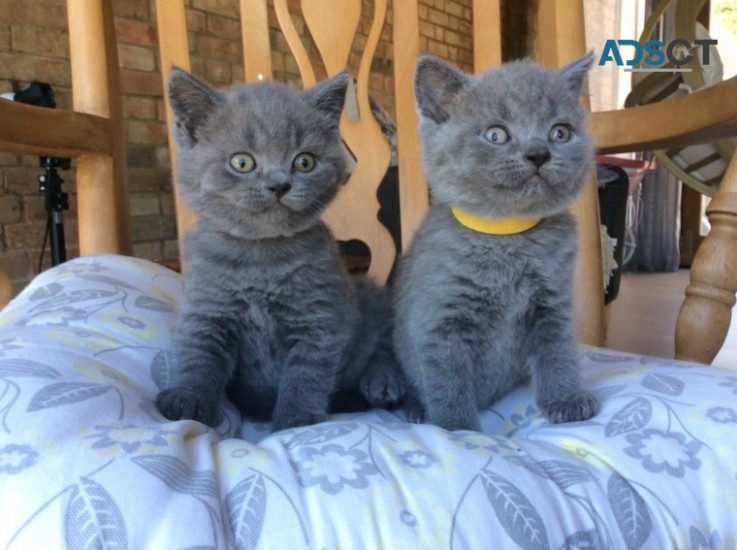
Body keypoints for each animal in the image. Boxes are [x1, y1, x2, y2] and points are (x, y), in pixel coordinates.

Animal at [156, 69, 406, 434]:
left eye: (304, 161)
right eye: (242, 162)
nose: (279, 185)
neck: (261, 259)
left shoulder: (317, 318)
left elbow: (306, 376)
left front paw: (295, 422)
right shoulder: (208, 309)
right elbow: (198, 354)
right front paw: (188, 398)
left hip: (368, 294)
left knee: (387, 343)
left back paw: (383, 382)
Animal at [394, 52, 596, 432]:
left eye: (559, 132)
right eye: (496, 134)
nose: (538, 153)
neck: (507, 238)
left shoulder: (553, 303)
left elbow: (558, 351)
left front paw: (565, 399)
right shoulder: (441, 321)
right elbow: (447, 380)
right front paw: (457, 428)